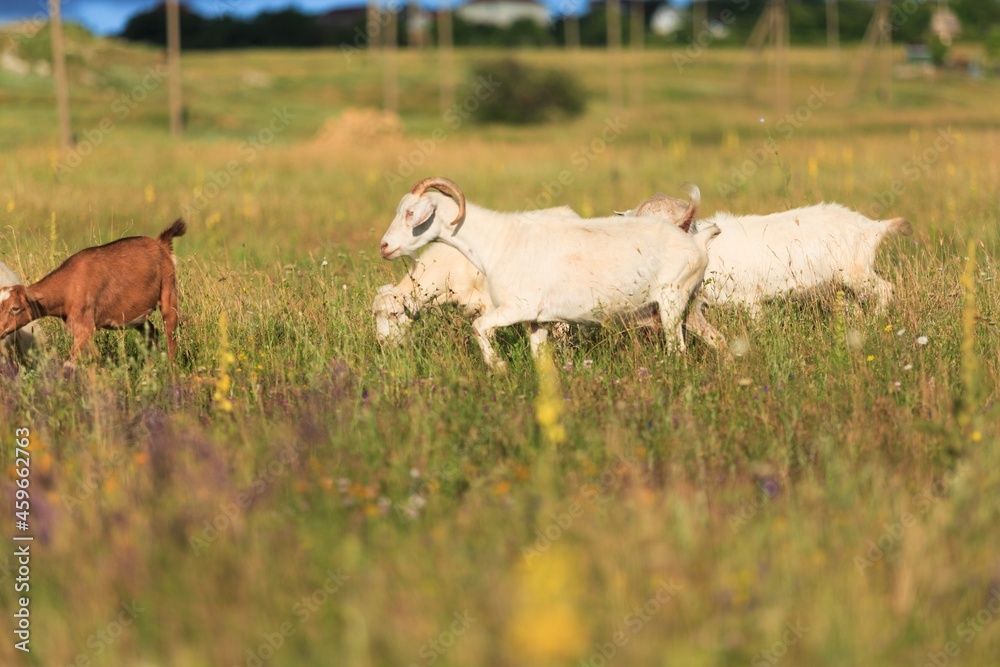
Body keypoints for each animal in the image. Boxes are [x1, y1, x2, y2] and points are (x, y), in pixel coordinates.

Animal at [0, 220, 188, 362]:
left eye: (15, 308)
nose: (0, 330)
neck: (69, 284)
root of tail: (160, 244)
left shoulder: (85, 327)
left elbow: (71, 362)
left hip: (169, 293)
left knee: (171, 336)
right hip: (137, 314)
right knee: (152, 334)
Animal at [378, 177, 716, 370]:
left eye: (411, 213)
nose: (384, 246)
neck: (497, 240)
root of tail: (697, 241)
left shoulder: (515, 307)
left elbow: (478, 327)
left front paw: (498, 365)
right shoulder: (537, 320)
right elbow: (539, 357)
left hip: (672, 301)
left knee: (678, 349)